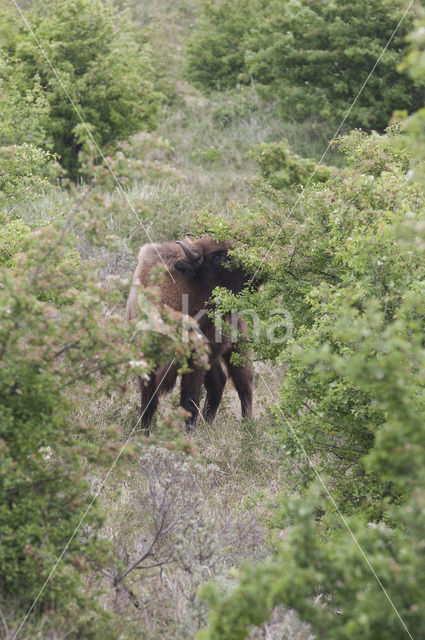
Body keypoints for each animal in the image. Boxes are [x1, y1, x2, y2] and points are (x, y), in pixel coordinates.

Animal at [125, 236, 252, 436]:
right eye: (217, 258)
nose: (257, 267)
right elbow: (148, 399)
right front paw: (144, 431)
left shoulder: (193, 360)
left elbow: (189, 400)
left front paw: (189, 434)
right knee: (219, 383)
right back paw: (209, 424)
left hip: (236, 347)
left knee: (244, 384)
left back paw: (248, 427)